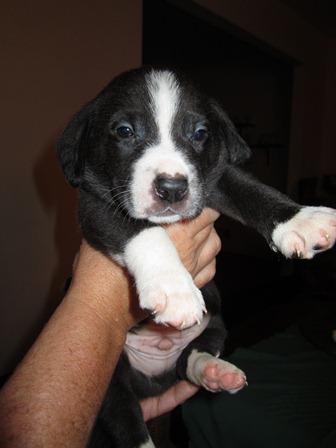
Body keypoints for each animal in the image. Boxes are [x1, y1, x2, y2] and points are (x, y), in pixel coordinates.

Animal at [57, 67, 336, 448]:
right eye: (125, 131)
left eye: (200, 133)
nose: (172, 188)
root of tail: (154, 379)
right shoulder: (95, 205)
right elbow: (143, 231)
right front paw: (174, 289)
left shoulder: (211, 179)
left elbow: (249, 188)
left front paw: (299, 219)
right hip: (111, 377)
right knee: (125, 417)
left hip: (215, 325)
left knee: (192, 358)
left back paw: (216, 372)